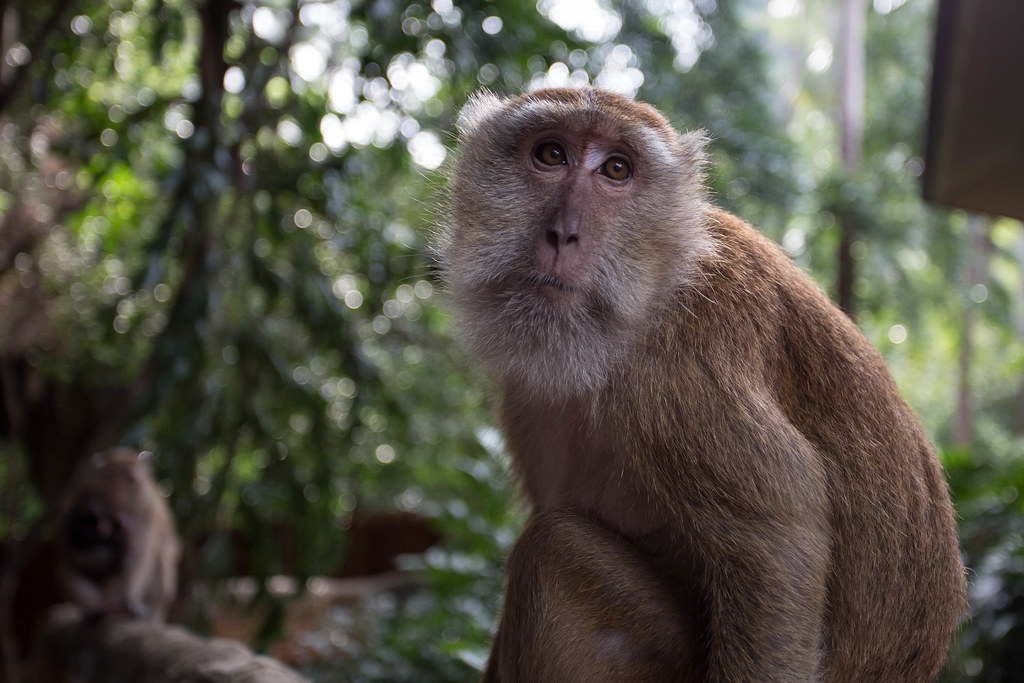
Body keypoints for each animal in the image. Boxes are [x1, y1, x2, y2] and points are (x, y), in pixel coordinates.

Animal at [57, 447, 180, 621]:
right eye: (112, 478)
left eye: (127, 480)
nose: (118, 489)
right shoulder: (84, 486)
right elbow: (67, 545)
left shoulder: (146, 511)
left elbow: (136, 556)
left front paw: (129, 598)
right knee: (68, 569)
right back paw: (97, 610)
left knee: (161, 555)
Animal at [437, 87, 967, 682]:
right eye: (550, 155)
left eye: (616, 169)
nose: (563, 234)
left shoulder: (675, 368)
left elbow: (777, 548)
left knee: (553, 551)